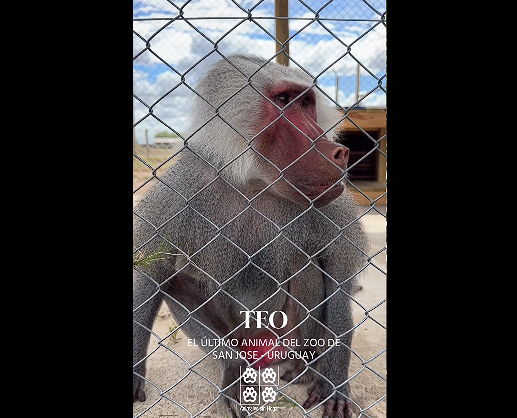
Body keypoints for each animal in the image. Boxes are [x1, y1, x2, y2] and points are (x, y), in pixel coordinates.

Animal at [133, 54, 369, 418]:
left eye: (306, 103)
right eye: (283, 100)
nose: (338, 153)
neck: (255, 184)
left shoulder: (331, 204)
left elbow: (338, 276)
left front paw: (334, 384)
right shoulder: (181, 189)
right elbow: (152, 271)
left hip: (282, 336)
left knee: (306, 265)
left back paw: (302, 366)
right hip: (238, 339)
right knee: (174, 279)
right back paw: (234, 371)